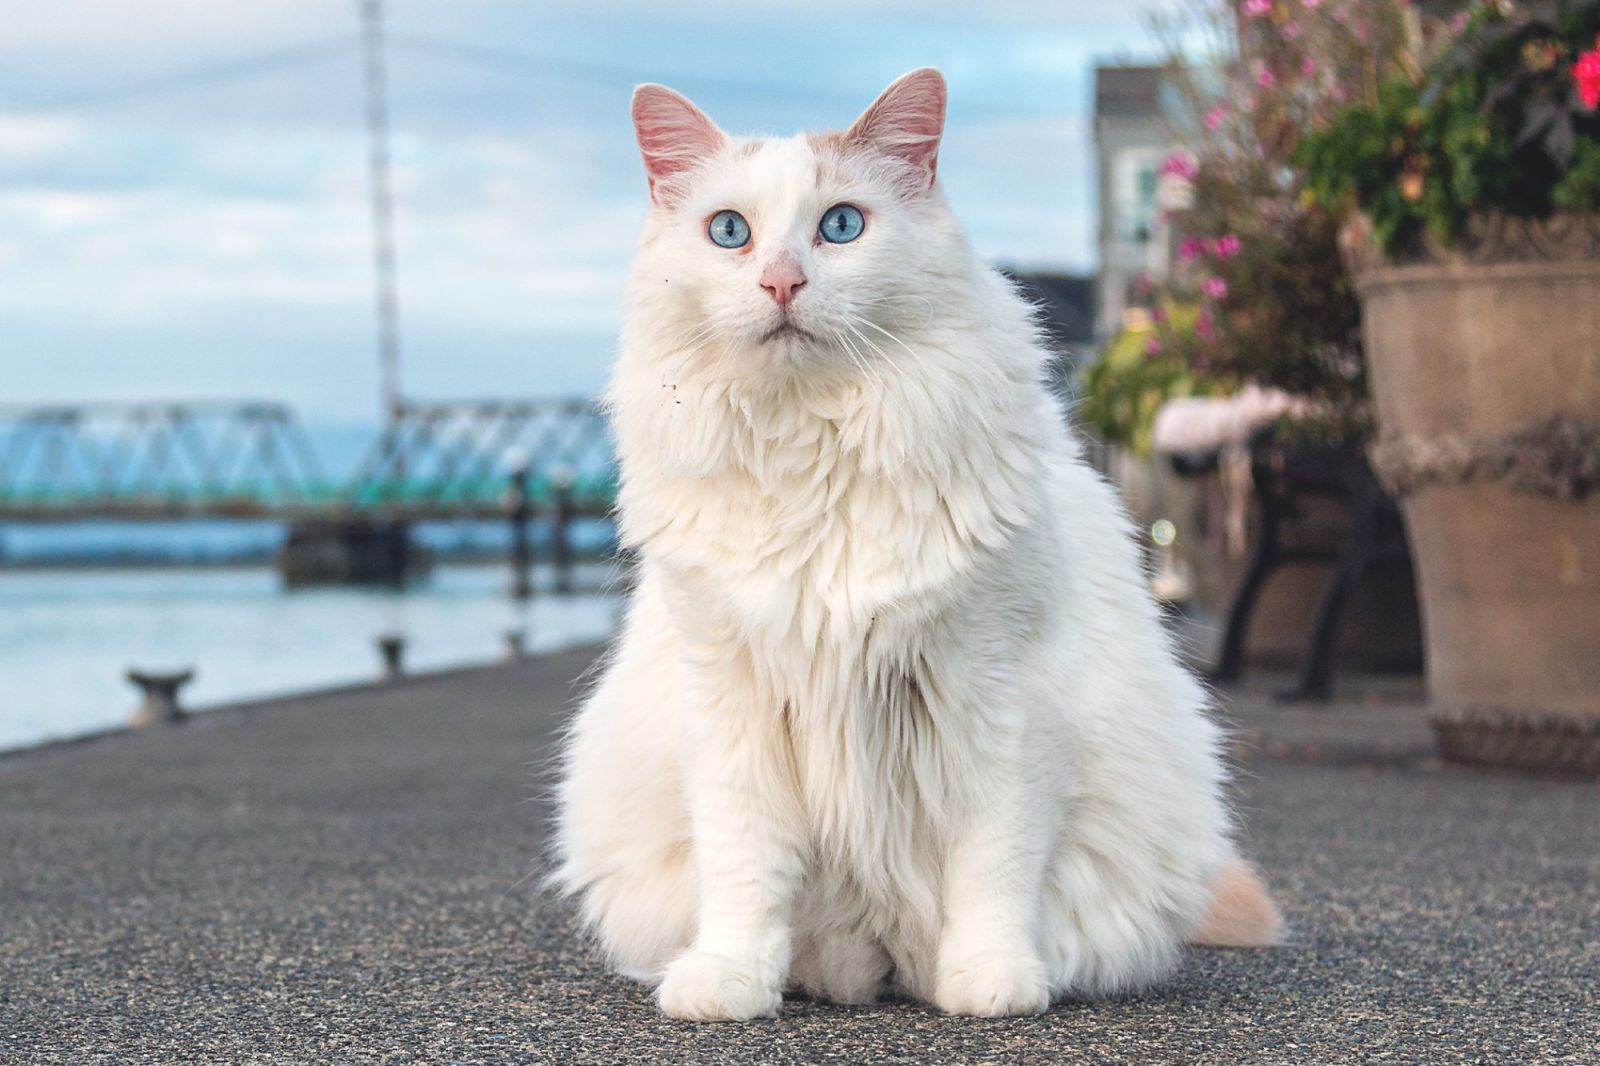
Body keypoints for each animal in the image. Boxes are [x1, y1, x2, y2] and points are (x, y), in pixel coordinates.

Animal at [556, 68, 1280, 1024]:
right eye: (729, 232)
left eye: (840, 226)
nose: (782, 283)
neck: (812, 451)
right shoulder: (729, 702)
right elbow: (746, 871)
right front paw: (729, 982)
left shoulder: (998, 698)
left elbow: (992, 868)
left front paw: (992, 980)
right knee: (835, 944)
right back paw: (835, 968)